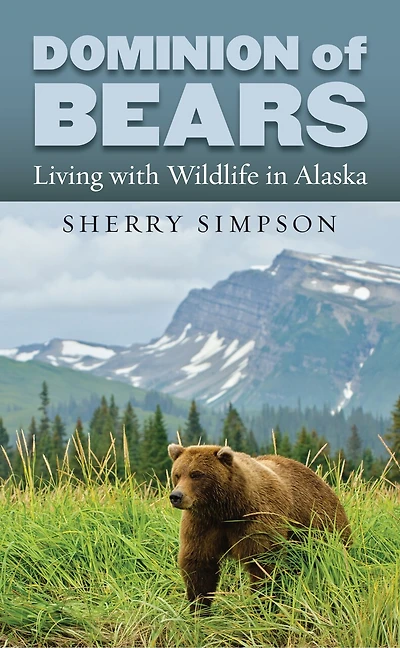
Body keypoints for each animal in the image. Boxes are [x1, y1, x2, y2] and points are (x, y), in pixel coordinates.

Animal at [168, 444, 351, 611]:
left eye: (196, 474)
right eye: (177, 474)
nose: (176, 496)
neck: (227, 509)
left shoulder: (257, 521)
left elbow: (263, 564)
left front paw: (261, 604)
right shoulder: (202, 524)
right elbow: (199, 564)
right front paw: (199, 608)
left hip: (320, 523)